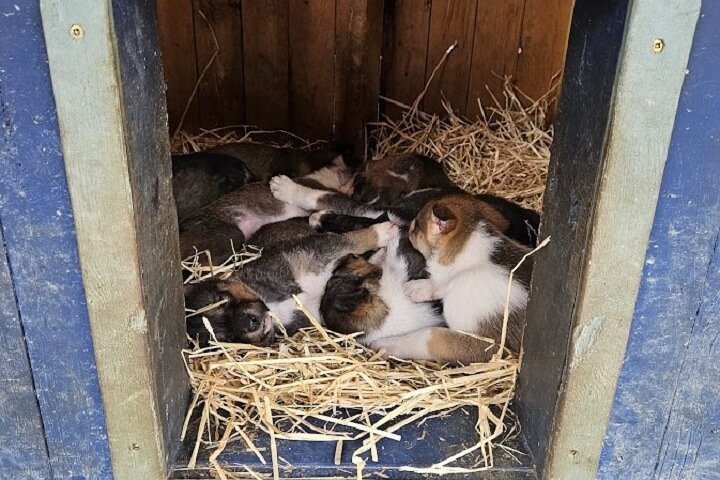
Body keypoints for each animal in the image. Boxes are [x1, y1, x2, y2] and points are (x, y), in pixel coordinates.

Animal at [368, 194, 532, 364]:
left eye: (416, 224)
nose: (399, 228)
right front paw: (416, 289)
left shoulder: (485, 344)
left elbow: (429, 337)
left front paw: (386, 346)